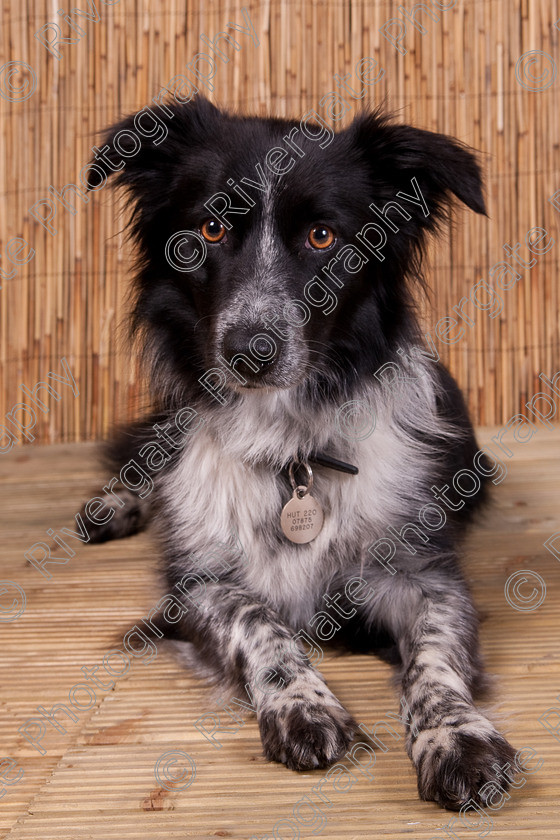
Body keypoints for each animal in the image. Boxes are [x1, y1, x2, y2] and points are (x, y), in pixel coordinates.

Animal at [85, 95, 520, 812]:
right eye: (208, 229)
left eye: (323, 238)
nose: (249, 351)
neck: (291, 451)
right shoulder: (195, 586)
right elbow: (258, 620)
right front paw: (301, 705)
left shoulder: (425, 576)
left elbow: (434, 658)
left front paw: (456, 737)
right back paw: (114, 505)